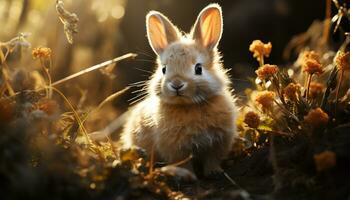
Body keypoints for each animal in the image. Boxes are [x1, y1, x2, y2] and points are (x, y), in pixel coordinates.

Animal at [120, 3, 238, 177]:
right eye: (164, 69)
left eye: (198, 68)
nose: (176, 84)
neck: (189, 106)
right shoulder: (175, 148)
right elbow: (183, 163)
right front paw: (188, 175)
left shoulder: (218, 142)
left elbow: (212, 159)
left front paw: (214, 172)